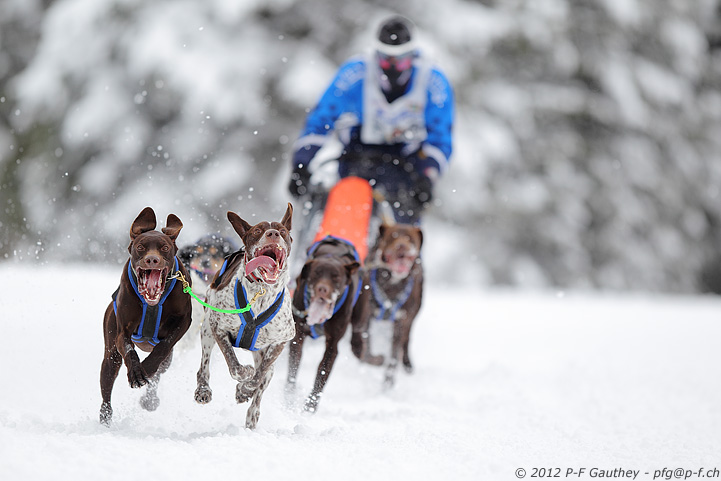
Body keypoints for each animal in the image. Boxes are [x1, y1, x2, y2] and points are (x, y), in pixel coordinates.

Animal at [100, 206, 194, 424]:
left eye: (165, 248)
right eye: (141, 247)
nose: (152, 259)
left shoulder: (184, 321)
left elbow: (163, 346)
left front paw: (147, 368)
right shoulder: (121, 331)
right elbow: (128, 349)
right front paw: (136, 373)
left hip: (167, 361)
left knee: (160, 370)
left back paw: (150, 398)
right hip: (110, 355)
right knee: (107, 383)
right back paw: (105, 418)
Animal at [194, 204, 296, 430]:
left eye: (282, 231)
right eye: (257, 230)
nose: (273, 233)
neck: (261, 292)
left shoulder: (281, 341)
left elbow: (258, 378)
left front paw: (245, 390)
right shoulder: (218, 328)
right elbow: (235, 367)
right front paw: (244, 376)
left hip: (267, 359)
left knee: (262, 385)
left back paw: (252, 414)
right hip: (206, 330)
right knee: (204, 366)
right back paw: (203, 390)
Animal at [286, 234, 362, 410]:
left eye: (336, 277)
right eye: (316, 274)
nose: (322, 289)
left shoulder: (333, 345)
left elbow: (321, 376)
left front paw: (310, 407)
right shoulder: (298, 336)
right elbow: (293, 368)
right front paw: (289, 397)